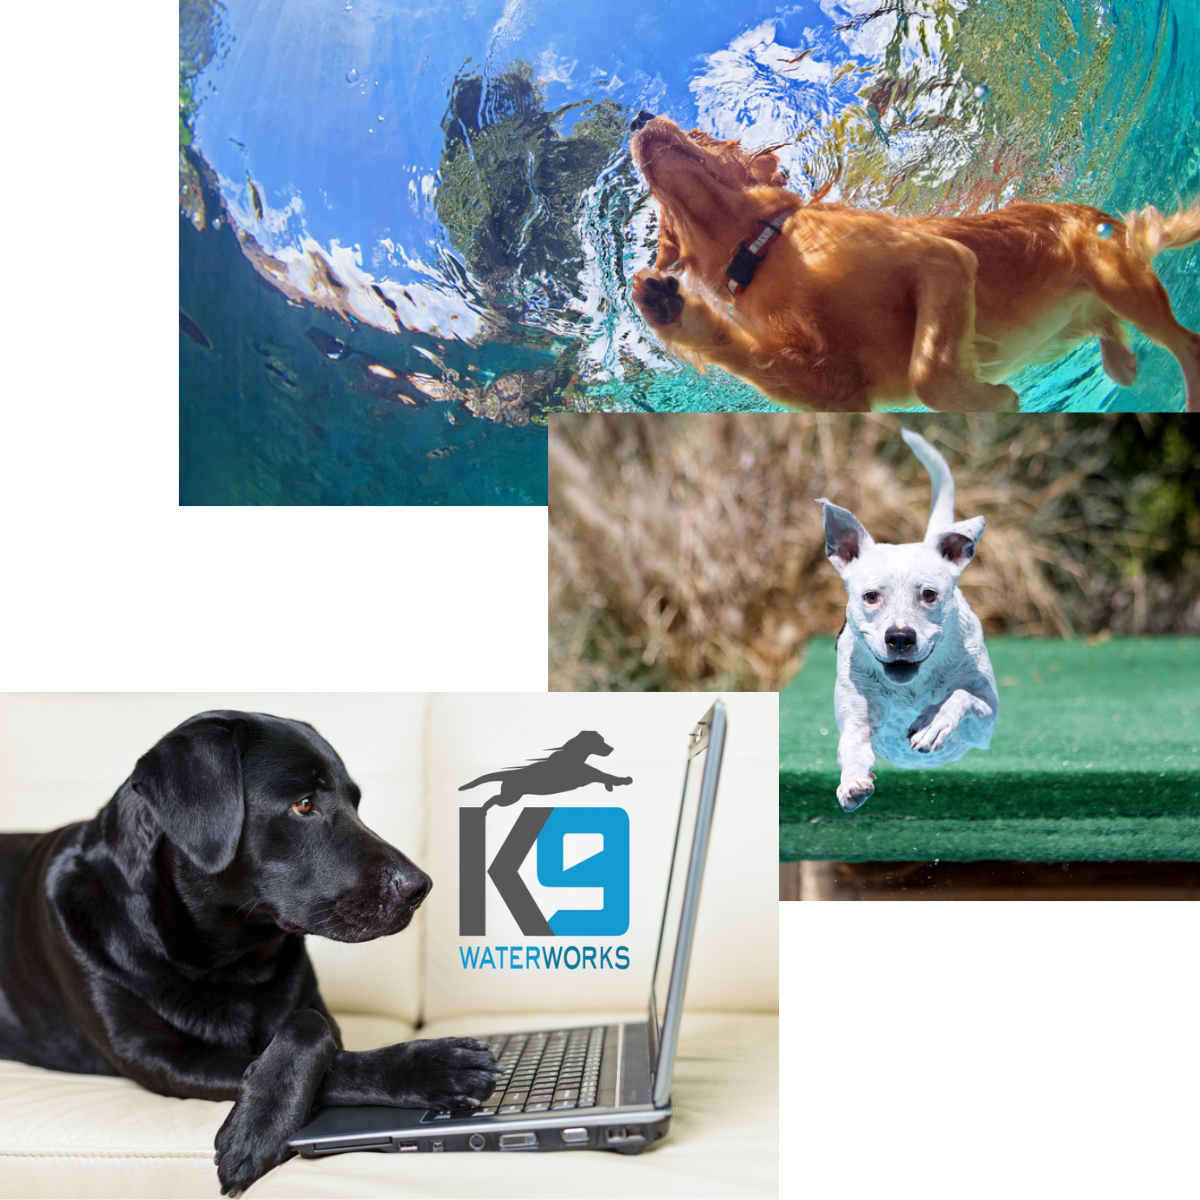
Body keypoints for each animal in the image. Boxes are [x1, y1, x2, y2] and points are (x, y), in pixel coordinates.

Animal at [816, 432, 993, 816]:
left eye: (929, 594)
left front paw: (933, 722)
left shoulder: (986, 722)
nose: (899, 637)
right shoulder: (856, 722)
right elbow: (852, 749)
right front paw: (852, 783)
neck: (910, 687)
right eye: (870, 596)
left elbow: (960, 696)